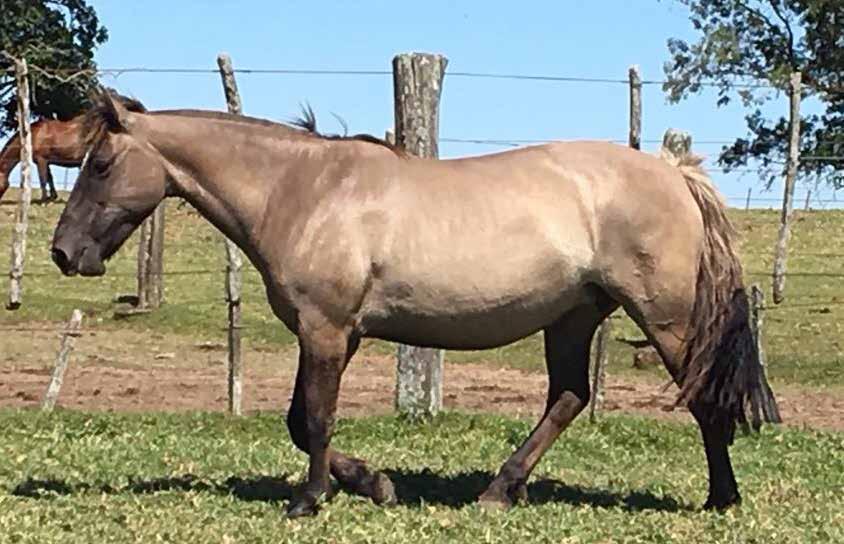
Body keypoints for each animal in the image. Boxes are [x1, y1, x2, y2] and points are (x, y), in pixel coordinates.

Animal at [51, 92, 780, 520]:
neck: (304, 190)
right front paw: (371, 484)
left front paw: (310, 501)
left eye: (100, 164)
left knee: (699, 396)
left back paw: (721, 498)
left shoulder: (325, 329)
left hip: (666, 320)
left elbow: (314, 419)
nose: (63, 252)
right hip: (575, 317)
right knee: (569, 396)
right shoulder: (330, 334)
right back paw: (498, 491)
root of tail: (674, 173)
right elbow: (298, 421)